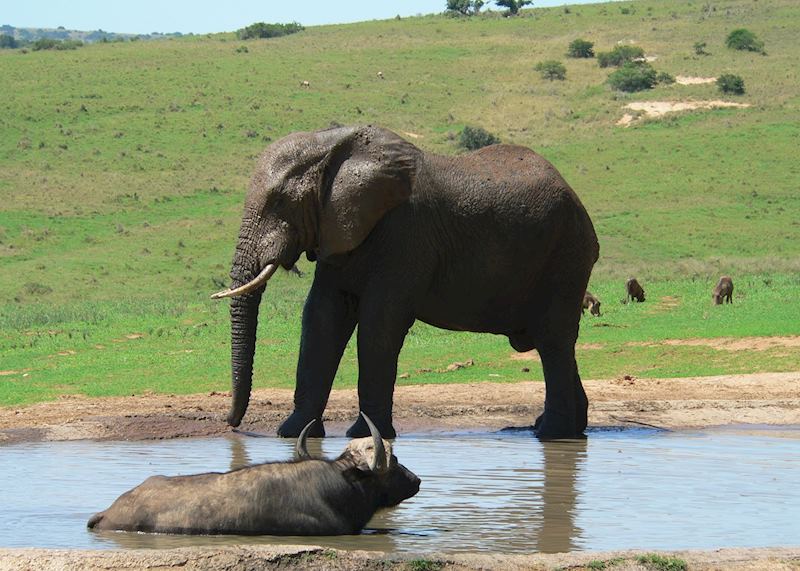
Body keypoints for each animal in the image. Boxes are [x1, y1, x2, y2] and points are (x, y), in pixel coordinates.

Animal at [212, 125, 599, 440]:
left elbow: (379, 323)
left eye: (280, 202)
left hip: (565, 256)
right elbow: (322, 317)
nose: (231, 424)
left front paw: (363, 435)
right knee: (557, 342)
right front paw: (291, 433)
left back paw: (552, 434)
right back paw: (561, 428)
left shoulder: (406, 235)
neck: (333, 144)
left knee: (552, 340)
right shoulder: (339, 231)